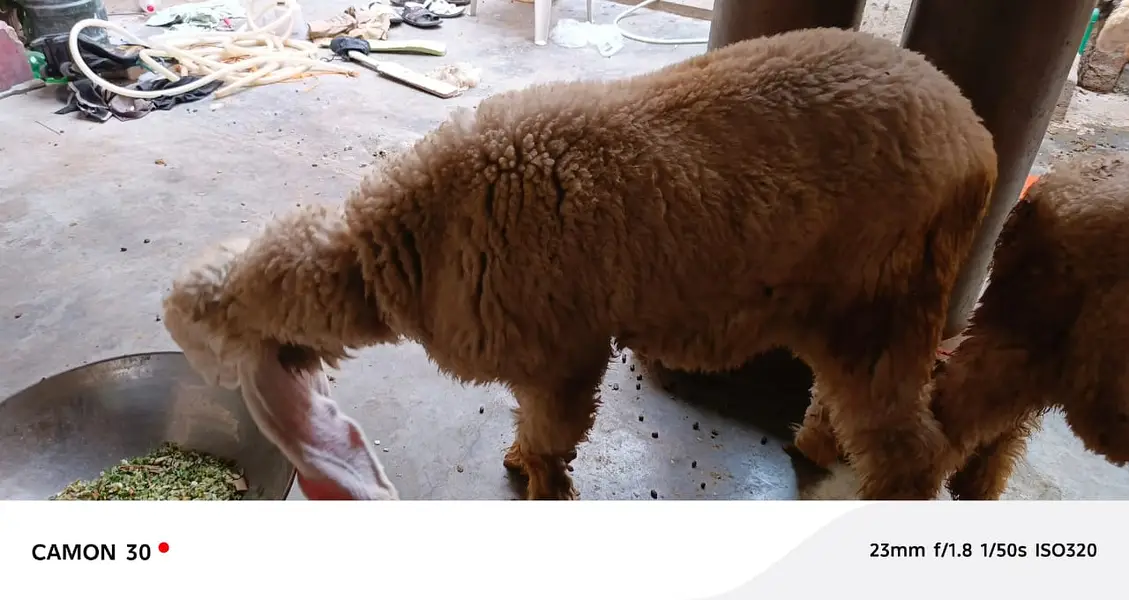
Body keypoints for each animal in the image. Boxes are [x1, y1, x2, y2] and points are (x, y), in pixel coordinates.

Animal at [162, 27, 997, 500]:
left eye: (193, 342)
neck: (409, 245)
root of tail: (974, 135)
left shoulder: (561, 349)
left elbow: (553, 431)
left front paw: (539, 483)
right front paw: (521, 461)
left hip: (886, 299)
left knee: (912, 452)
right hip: (848, 304)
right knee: (847, 402)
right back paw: (814, 443)